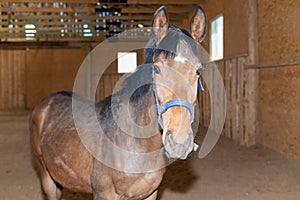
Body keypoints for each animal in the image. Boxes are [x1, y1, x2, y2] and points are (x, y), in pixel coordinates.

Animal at [29, 5, 206, 199]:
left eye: (198, 70)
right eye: (157, 68)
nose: (179, 142)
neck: (135, 142)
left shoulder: (150, 193)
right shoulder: (104, 193)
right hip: (47, 178)